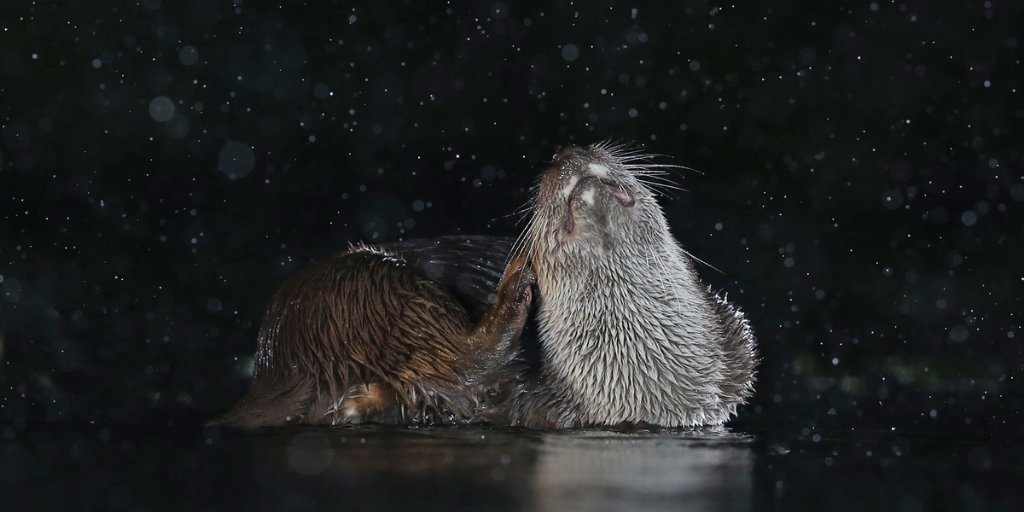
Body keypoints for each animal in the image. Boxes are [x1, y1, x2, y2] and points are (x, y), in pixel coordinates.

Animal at [215, 143, 756, 429]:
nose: (567, 152)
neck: (646, 377)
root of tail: (273, 360)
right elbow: (468, 378)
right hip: (372, 290)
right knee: (454, 354)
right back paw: (513, 287)